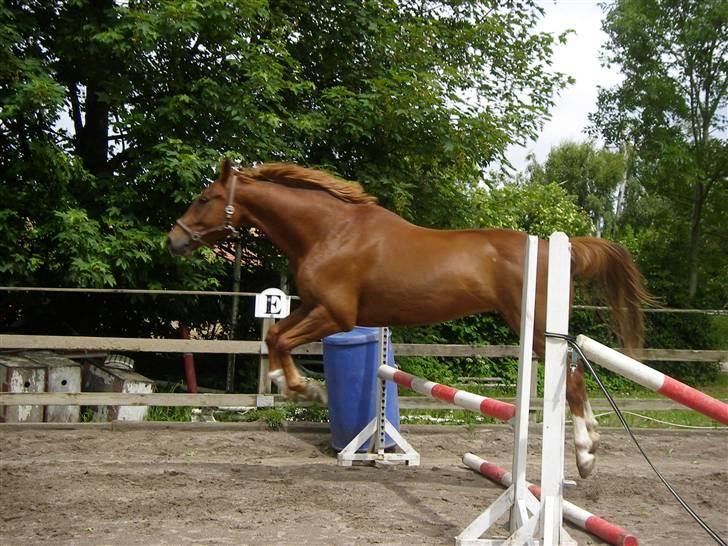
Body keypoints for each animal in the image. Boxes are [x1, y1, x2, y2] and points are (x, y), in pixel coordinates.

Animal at [168, 157, 652, 476]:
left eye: (205, 198)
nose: (173, 240)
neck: (331, 231)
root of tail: (557, 247)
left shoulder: (337, 315)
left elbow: (282, 340)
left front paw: (307, 390)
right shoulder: (314, 306)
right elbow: (275, 338)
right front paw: (284, 384)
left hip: (534, 329)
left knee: (572, 377)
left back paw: (586, 454)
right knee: (575, 375)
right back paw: (591, 443)